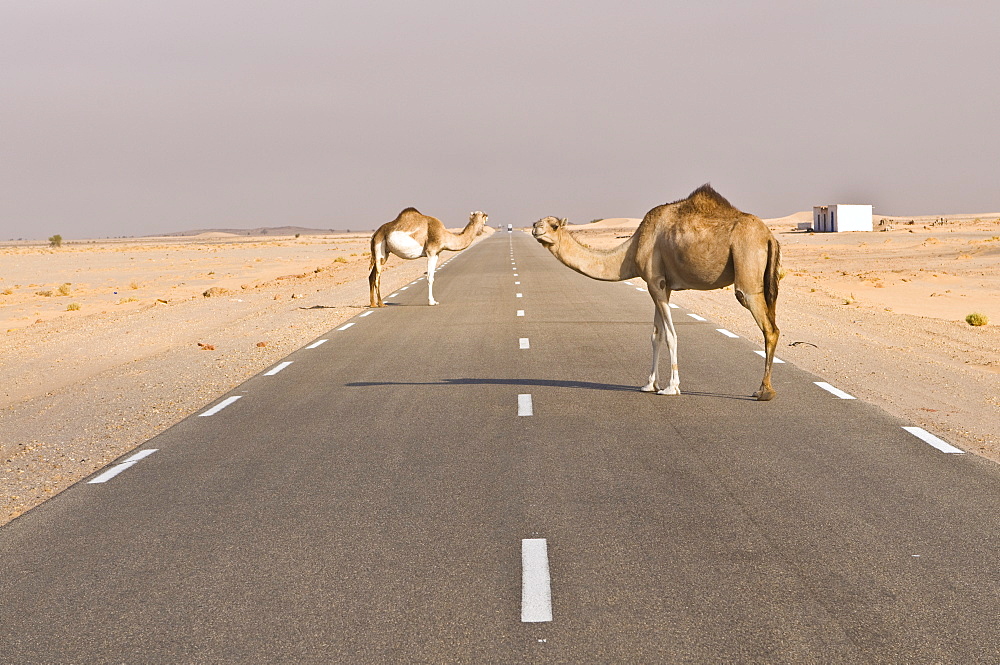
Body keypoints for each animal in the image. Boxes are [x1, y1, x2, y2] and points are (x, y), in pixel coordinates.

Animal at [532, 182, 780, 400]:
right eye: (540, 221)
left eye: (554, 225)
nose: (535, 227)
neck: (631, 250)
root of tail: (769, 236)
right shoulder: (664, 285)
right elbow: (655, 335)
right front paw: (650, 384)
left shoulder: (654, 281)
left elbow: (670, 335)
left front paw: (671, 388)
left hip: (746, 263)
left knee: (769, 328)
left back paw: (764, 391)